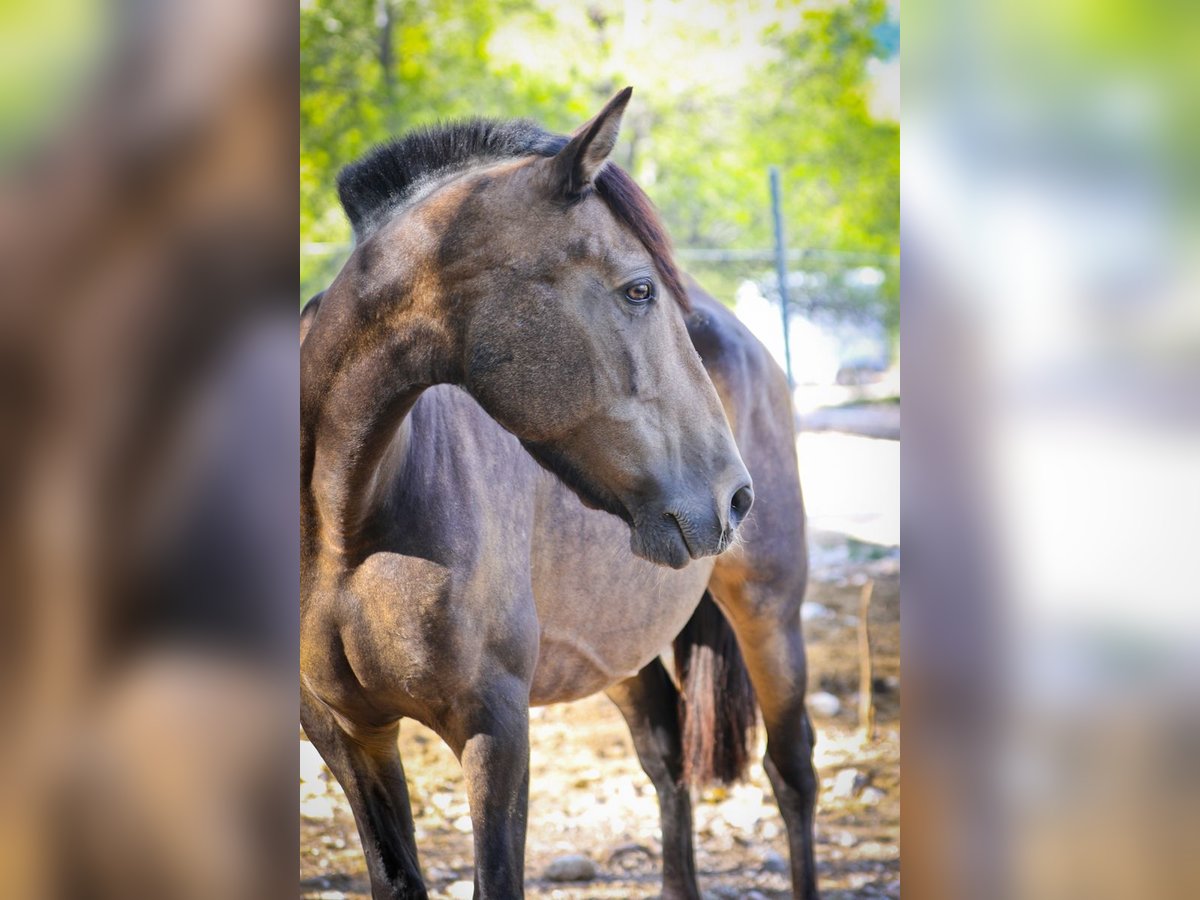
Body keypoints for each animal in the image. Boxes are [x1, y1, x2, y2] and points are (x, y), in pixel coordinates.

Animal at [300, 86, 820, 900]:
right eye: (639, 289)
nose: (733, 497)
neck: (344, 524)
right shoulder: (345, 732)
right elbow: (396, 877)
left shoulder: (495, 727)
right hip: (617, 647)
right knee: (668, 761)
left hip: (770, 611)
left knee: (791, 773)